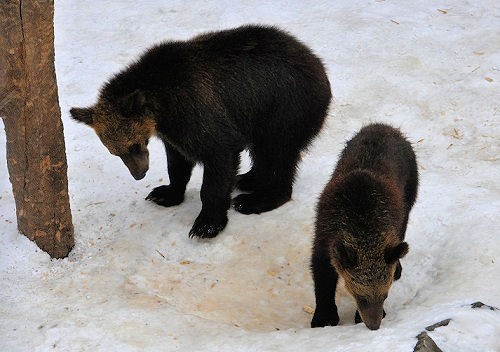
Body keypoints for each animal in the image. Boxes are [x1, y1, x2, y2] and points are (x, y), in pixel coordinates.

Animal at [69, 25, 328, 239]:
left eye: (134, 145)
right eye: (115, 152)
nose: (139, 173)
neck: (161, 107)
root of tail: (316, 62)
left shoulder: (196, 112)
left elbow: (218, 157)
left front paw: (206, 224)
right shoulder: (172, 132)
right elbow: (177, 162)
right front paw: (164, 193)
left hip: (282, 109)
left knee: (276, 153)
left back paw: (255, 199)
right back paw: (247, 179)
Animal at [312, 123, 418, 330]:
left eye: (385, 295)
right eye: (360, 296)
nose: (373, 324)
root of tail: (384, 126)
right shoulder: (324, 235)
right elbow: (322, 273)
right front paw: (323, 317)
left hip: (410, 190)